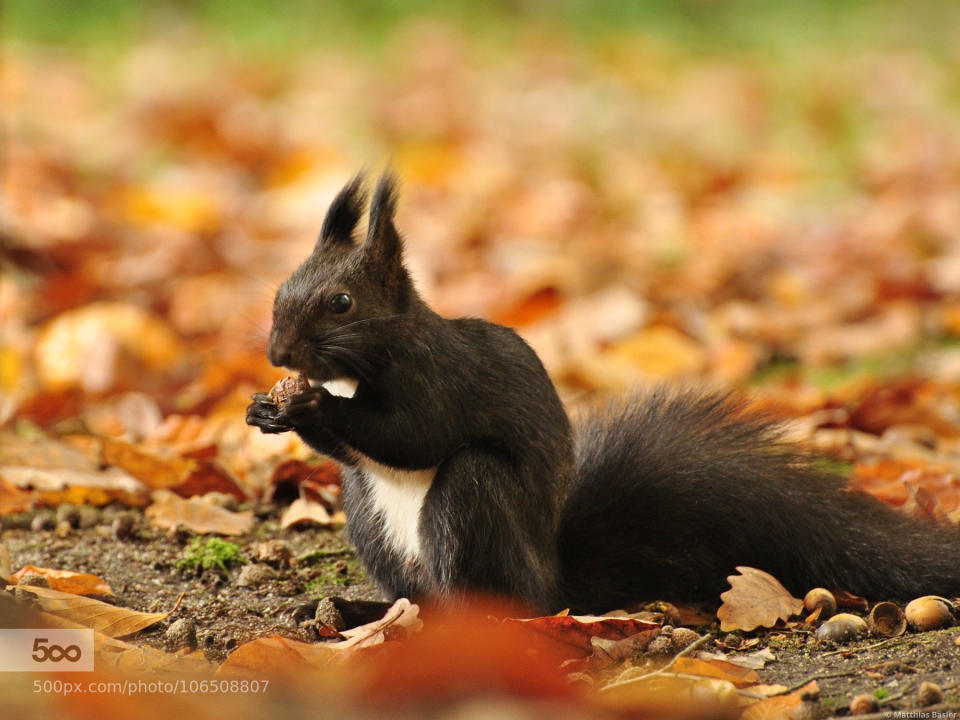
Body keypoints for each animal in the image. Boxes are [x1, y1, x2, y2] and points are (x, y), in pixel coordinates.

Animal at [248, 174, 960, 612]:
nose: (278, 354)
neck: (374, 360)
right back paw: (353, 610)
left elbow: (413, 434)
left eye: (341, 303)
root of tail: (555, 585)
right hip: (369, 518)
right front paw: (269, 408)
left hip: (473, 498)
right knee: (411, 592)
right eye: (280, 286)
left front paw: (312, 406)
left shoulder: (442, 378)